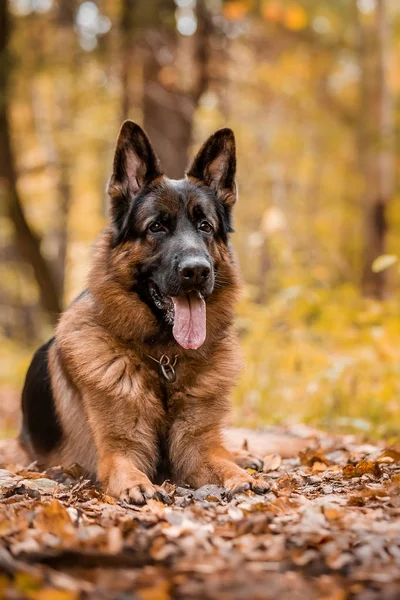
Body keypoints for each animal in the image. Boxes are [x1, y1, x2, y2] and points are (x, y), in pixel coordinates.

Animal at [19, 120, 268, 502]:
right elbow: (126, 467)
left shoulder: (196, 448)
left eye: (205, 227)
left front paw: (240, 474)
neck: (164, 360)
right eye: (156, 227)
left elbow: (219, 459)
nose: (197, 271)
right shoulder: (119, 450)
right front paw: (138, 485)